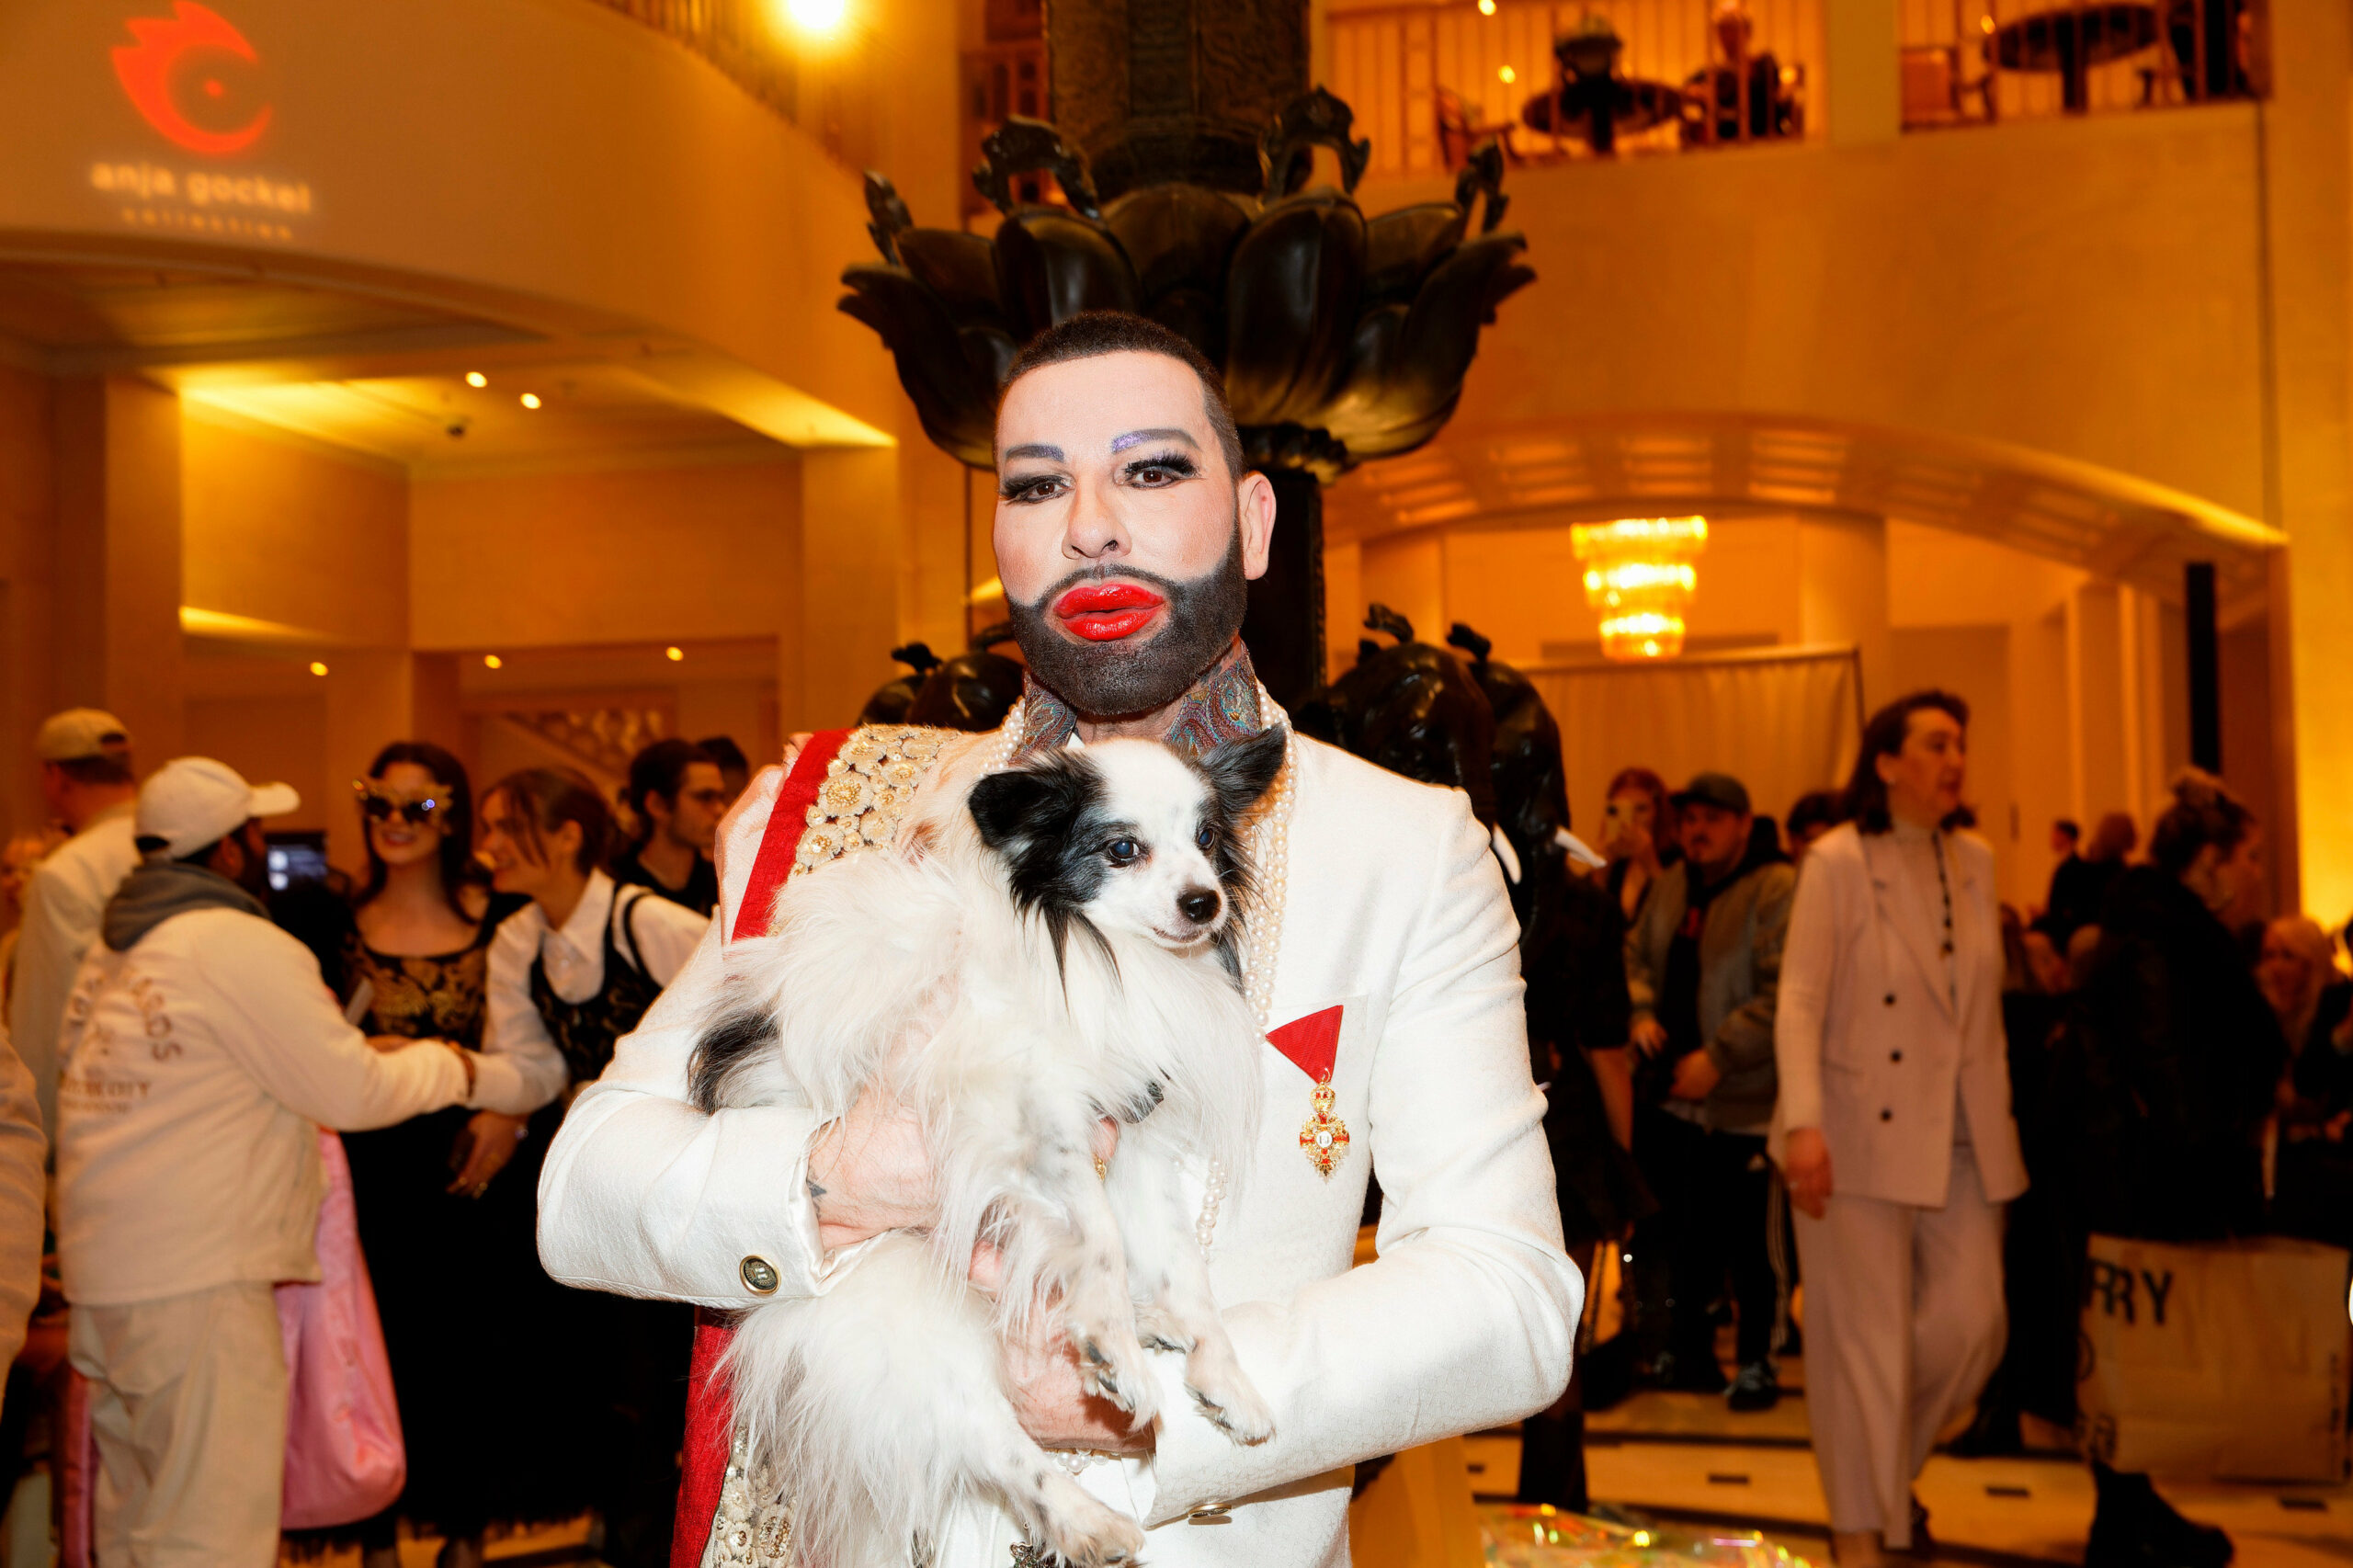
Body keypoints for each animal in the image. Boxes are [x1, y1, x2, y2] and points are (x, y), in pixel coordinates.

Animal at [687, 724, 1289, 1562]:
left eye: (1206, 838)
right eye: (1123, 849)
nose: (1204, 901)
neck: (1097, 953)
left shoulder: (1130, 1145)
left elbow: (1183, 1271)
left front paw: (1221, 1373)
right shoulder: (1037, 1115)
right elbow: (1099, 1239)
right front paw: (1109, 1340)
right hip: (904, 1317)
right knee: (989, 1440)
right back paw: (1088, 1517)